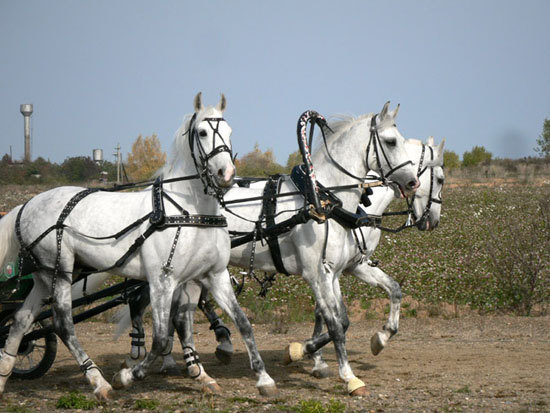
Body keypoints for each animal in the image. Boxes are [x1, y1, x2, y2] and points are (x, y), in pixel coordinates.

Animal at [0, 94, 280, 400]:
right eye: (203, 132)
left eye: (229, 132)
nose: (226, 174)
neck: (188, 211)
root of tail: (26, 205)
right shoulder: (162, 281)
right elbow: (159, 339)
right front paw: (127, 375)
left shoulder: (213, 276)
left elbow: (242, 323)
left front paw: (263, 378)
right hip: (60, 271)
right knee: (63, 325)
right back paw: (99, 382)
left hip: (44, 276)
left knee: (21, 320)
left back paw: (4, 375)